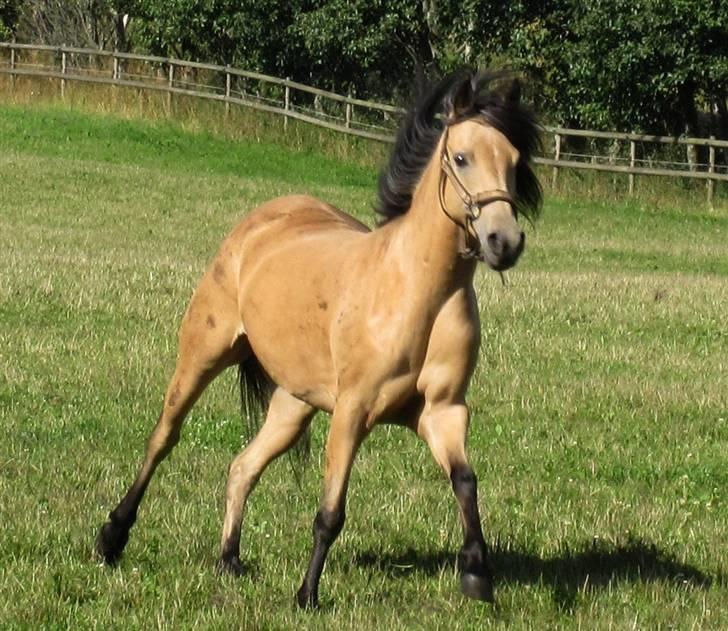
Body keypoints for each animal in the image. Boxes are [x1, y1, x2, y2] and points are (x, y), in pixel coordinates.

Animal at [95, 69, 542, 608]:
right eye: (461, 158)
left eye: (515, 162)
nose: (504, 242)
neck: (415, 292)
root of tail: (262, 220)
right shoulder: (352, 412)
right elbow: (330, 513)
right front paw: (306, 595)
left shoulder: (442, 412)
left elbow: (465, 481)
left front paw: (477, 575)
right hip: (203, 355)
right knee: (164, 437)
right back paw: (111, 538)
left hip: (294, 403)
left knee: (242, 466)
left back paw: (229, 560)